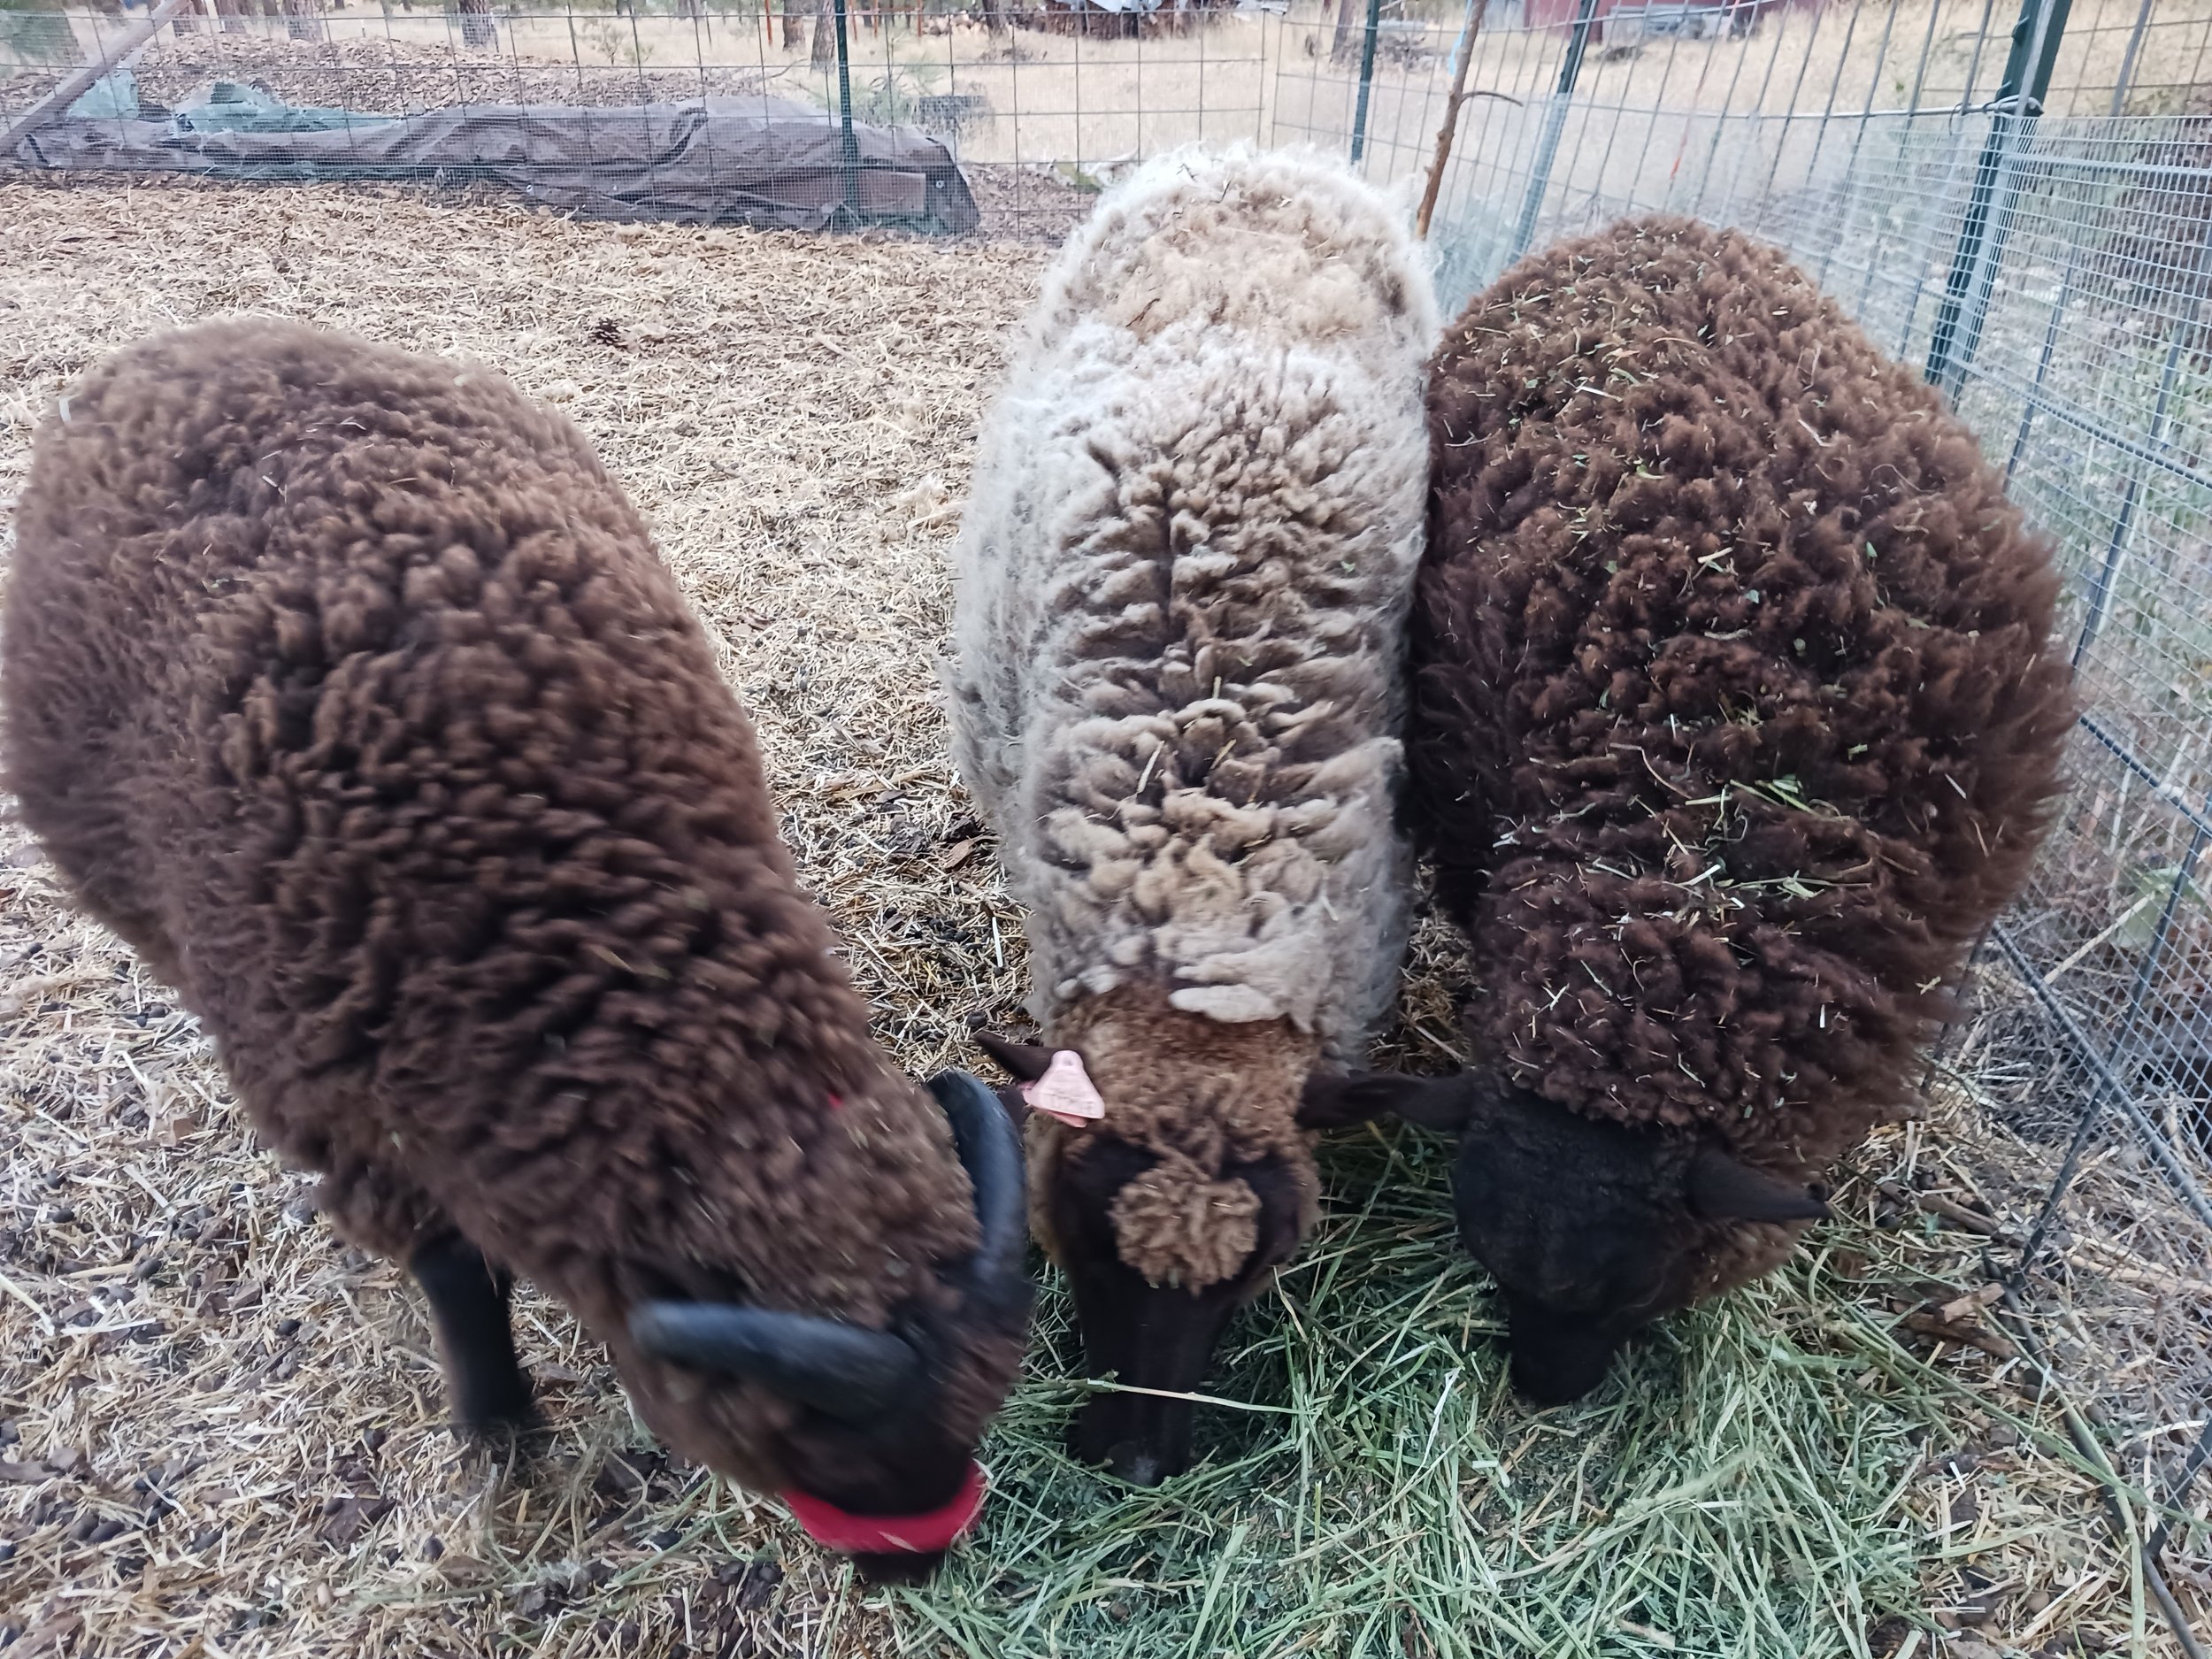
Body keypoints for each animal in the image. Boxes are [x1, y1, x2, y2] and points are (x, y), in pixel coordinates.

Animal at [1, 319, 1031, 1575]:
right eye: (808, 1439)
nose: (914, 1562)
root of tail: (201, 337)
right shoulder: (349, 1112)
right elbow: (455, 1275)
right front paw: (498, 1424)